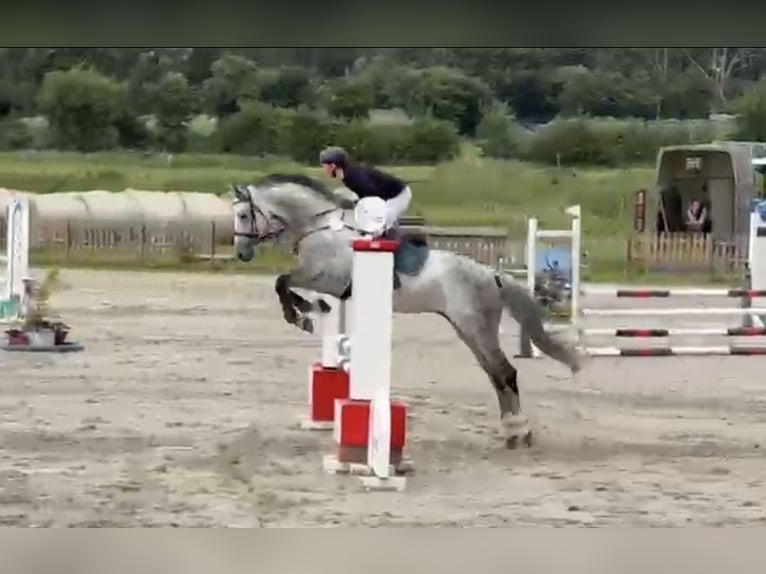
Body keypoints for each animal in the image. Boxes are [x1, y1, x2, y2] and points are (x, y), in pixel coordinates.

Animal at [232, 173, 585, 449]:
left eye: (244, 216)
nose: (242, 253)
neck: (321, 228)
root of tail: (493, 277)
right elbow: (285, 283)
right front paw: (306, 310)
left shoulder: (326, 278)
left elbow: (283, 281)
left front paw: (301, 313)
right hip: (465, 329)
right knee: (496, 374)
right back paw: (512, 431)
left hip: (476, 327)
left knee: (505, 372)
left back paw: (520, 433)